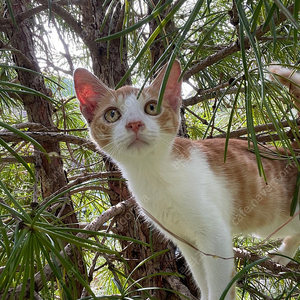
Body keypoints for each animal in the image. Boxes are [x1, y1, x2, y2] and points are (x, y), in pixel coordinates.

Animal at [74, 61, 300, 300]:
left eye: (152, 108)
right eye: (112, 114)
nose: (134, 124)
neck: (152, 174)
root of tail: (290, 150)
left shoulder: (215, 236)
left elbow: (219, 286)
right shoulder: (187, 242)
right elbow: (202, 280)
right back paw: (284, 255)